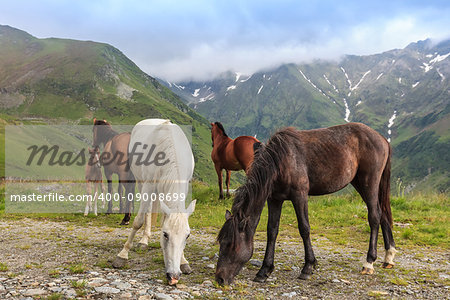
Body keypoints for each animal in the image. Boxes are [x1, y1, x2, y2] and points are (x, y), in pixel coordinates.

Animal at [111, 118, 196, 284]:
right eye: (165, 234)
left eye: (187, 236)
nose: (174, 276)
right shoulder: (148, 185)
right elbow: (138, 221)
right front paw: (122, 255)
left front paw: (183, 261)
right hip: (141, 182)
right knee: (147, 210)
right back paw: (144, 241)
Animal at [216, 123, 396, 284]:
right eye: (221, 242)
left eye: (232, 245)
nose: (220, 278)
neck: (281, 161)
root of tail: (382, 139)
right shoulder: (274, 199)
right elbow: (271, 231)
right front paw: (264, 270)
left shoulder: (299, 196)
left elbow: (304, 228)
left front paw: (308, 267)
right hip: (360, 183)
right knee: (383, 214)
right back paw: (389, 257)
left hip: (369, 183)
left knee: (374, 216)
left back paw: (369, 262)